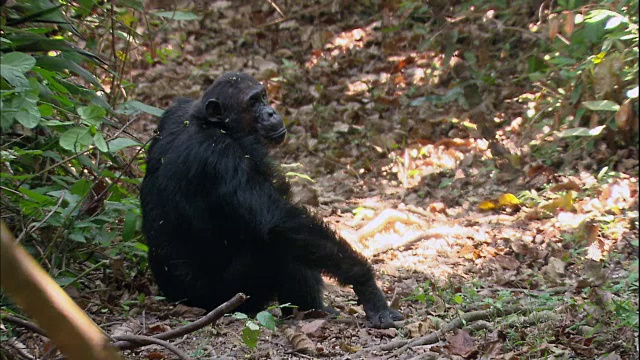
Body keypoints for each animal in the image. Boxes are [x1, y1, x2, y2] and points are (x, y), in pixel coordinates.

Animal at [141, 71, 400, 328]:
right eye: (252, 102)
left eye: (263, 96)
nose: (270, 111)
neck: (213, 125)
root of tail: (175, 298)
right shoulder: (222, 157)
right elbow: (278, 222)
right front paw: (367, 286)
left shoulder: (173, 112)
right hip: (224, 297)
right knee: (278, 243)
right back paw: (313, 310)